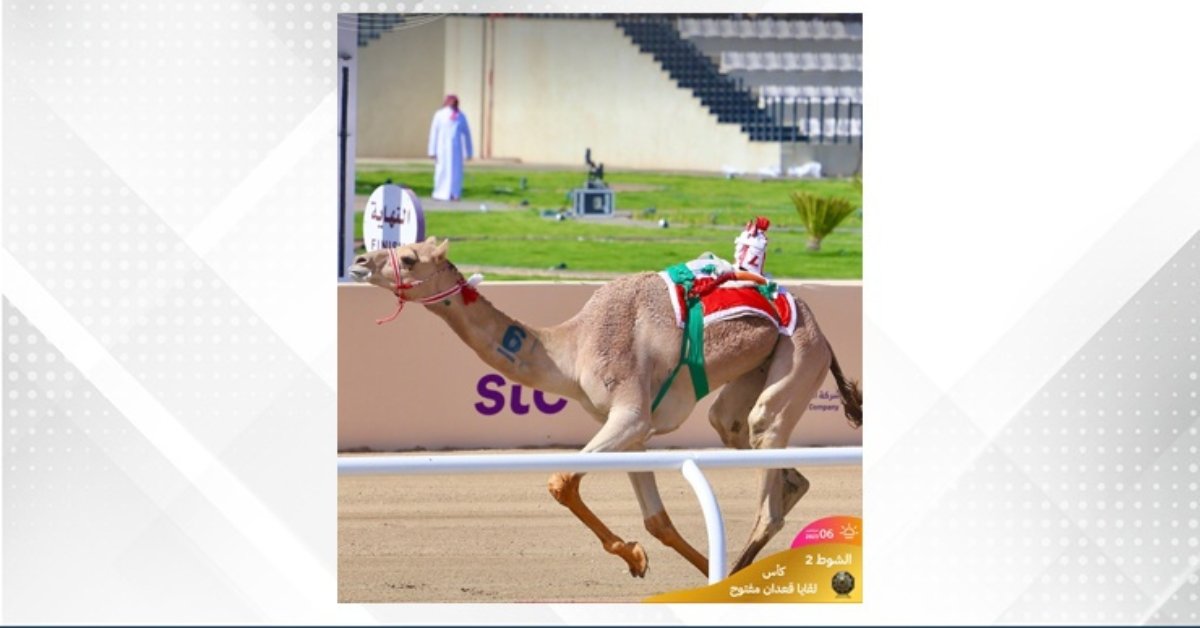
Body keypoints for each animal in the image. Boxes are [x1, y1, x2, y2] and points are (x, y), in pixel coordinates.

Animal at [348, 237, 862, 578]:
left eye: (408, 257)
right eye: (393, 244)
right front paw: (640, 557)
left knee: (766, 460)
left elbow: (561, 481)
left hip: (800, 355)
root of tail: (820, 328)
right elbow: (656, 521)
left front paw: (641, 558)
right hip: (751, 380)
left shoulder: (629, 414)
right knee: (751, 441)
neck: (571, 349)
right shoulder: (634, 431)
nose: (357, 260)